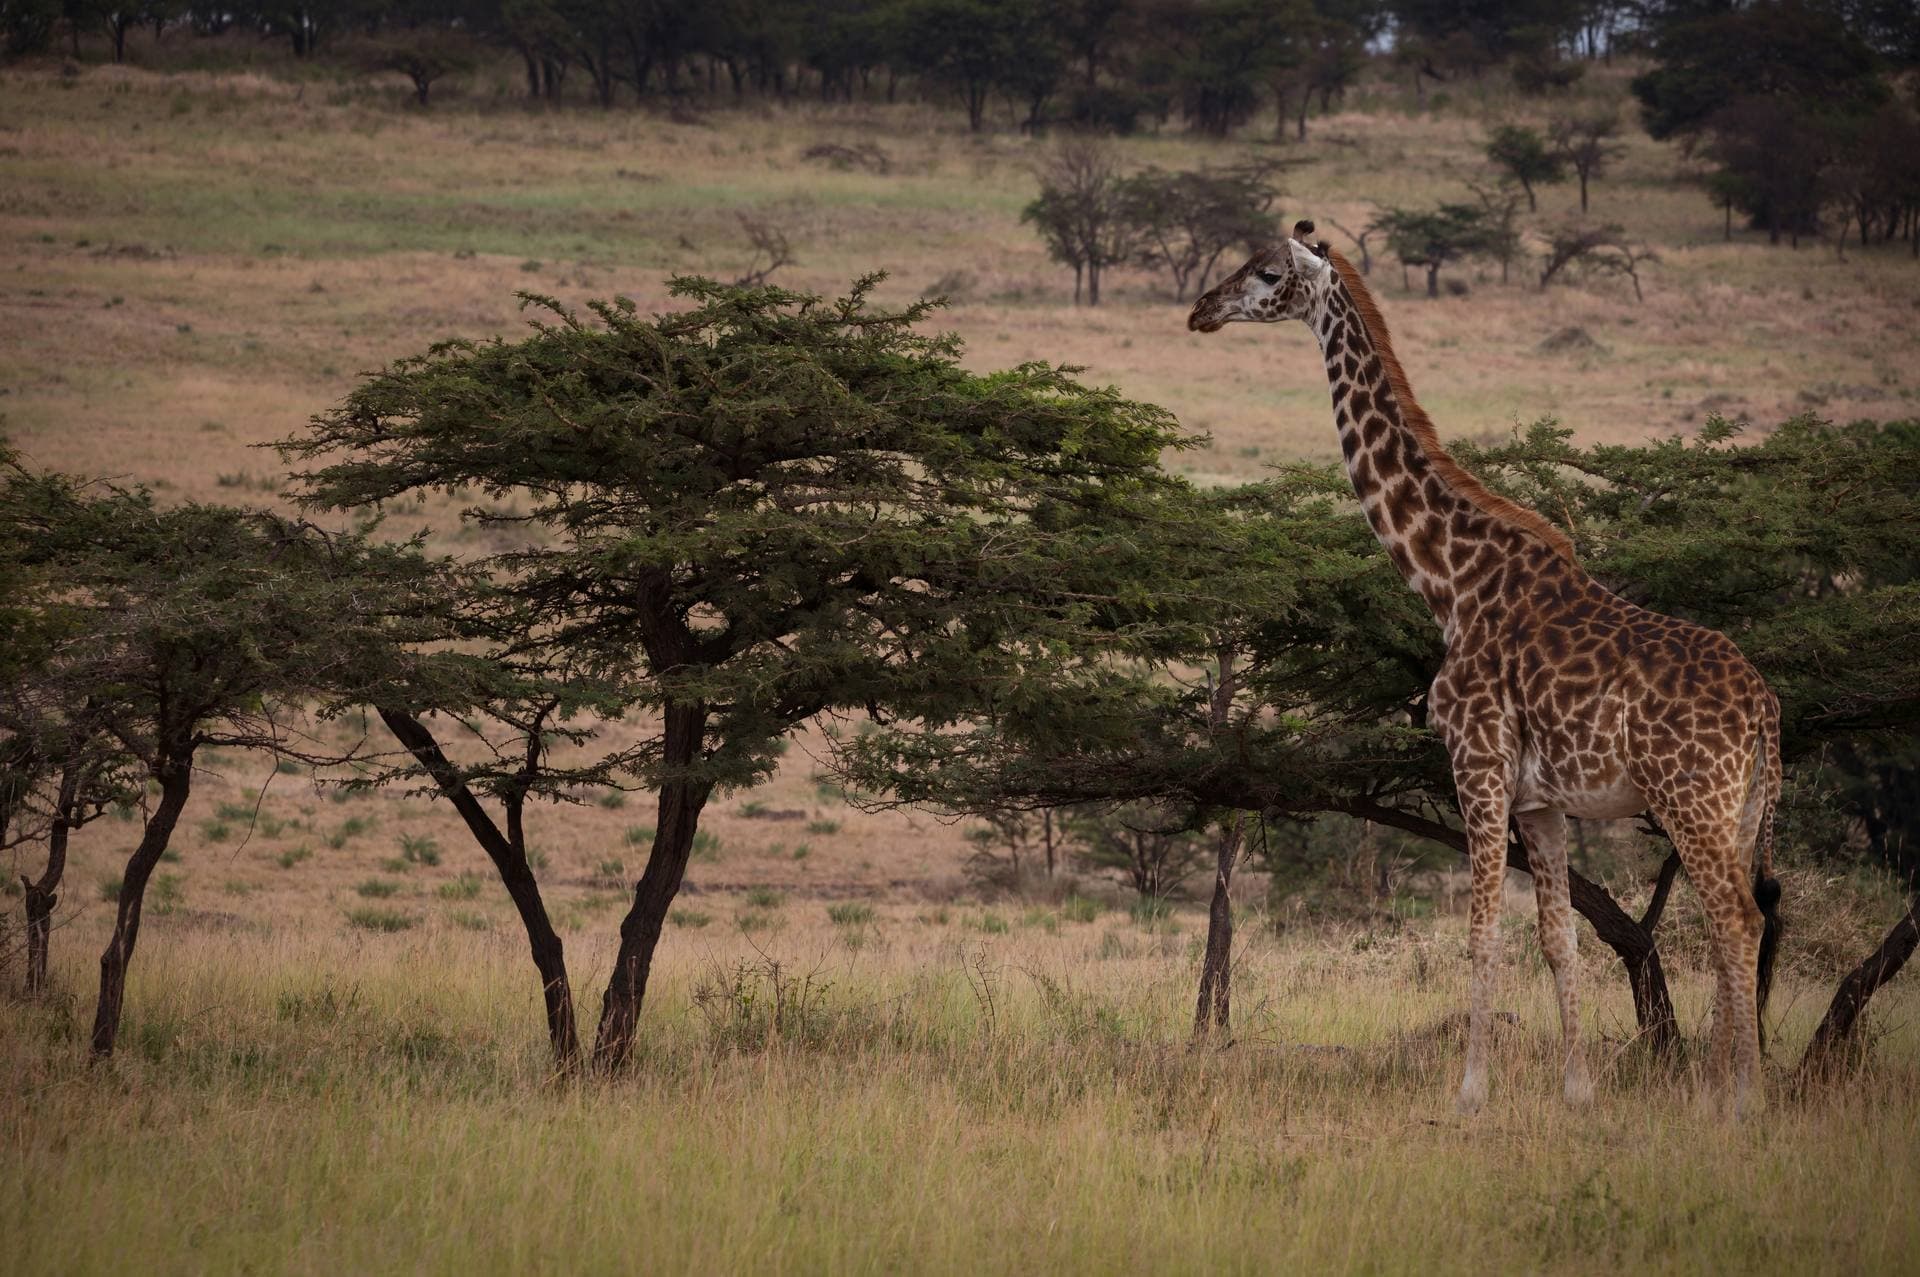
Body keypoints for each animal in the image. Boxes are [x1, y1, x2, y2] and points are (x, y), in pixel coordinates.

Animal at [1187, 222, 1784, 1115]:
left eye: (1264, 272)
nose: (1200, 308)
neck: (1450, 582)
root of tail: (1764, 708)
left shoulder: (1476, 763)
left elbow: (1480, 931)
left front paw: (1470, 1090)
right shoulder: (1540, 799)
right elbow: (1558, 937)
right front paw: (1577, 1090)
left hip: (1692, 799)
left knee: (1739, 920)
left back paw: (1740, 1100)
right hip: (1741, 808)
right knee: (1731, 924)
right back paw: (1718, 1089)